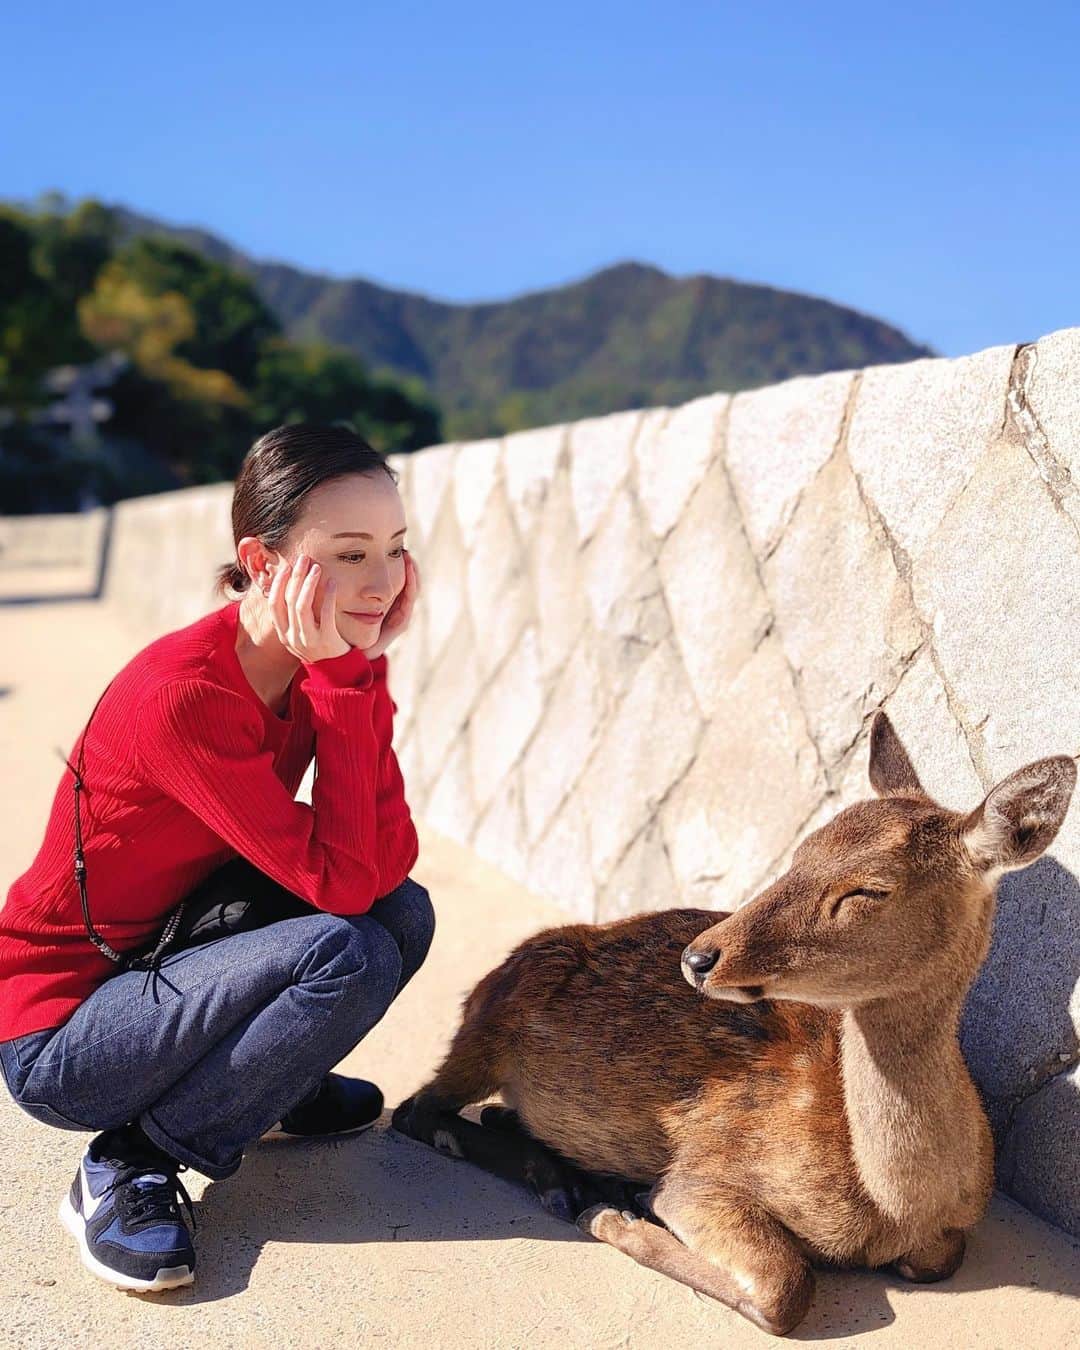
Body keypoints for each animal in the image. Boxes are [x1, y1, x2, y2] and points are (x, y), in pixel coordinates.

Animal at [391, 711, 1076, 1336]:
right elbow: (784, 1287)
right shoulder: (708, 1175)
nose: (698, 956)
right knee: (417, 1110)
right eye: (801, 851)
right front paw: (618, 1215)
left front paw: (613, 1203)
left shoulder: (945, 1236)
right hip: (489, 1023)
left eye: (869, 891)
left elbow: (933, 1260)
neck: (892, 1207)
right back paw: (571, 1187)